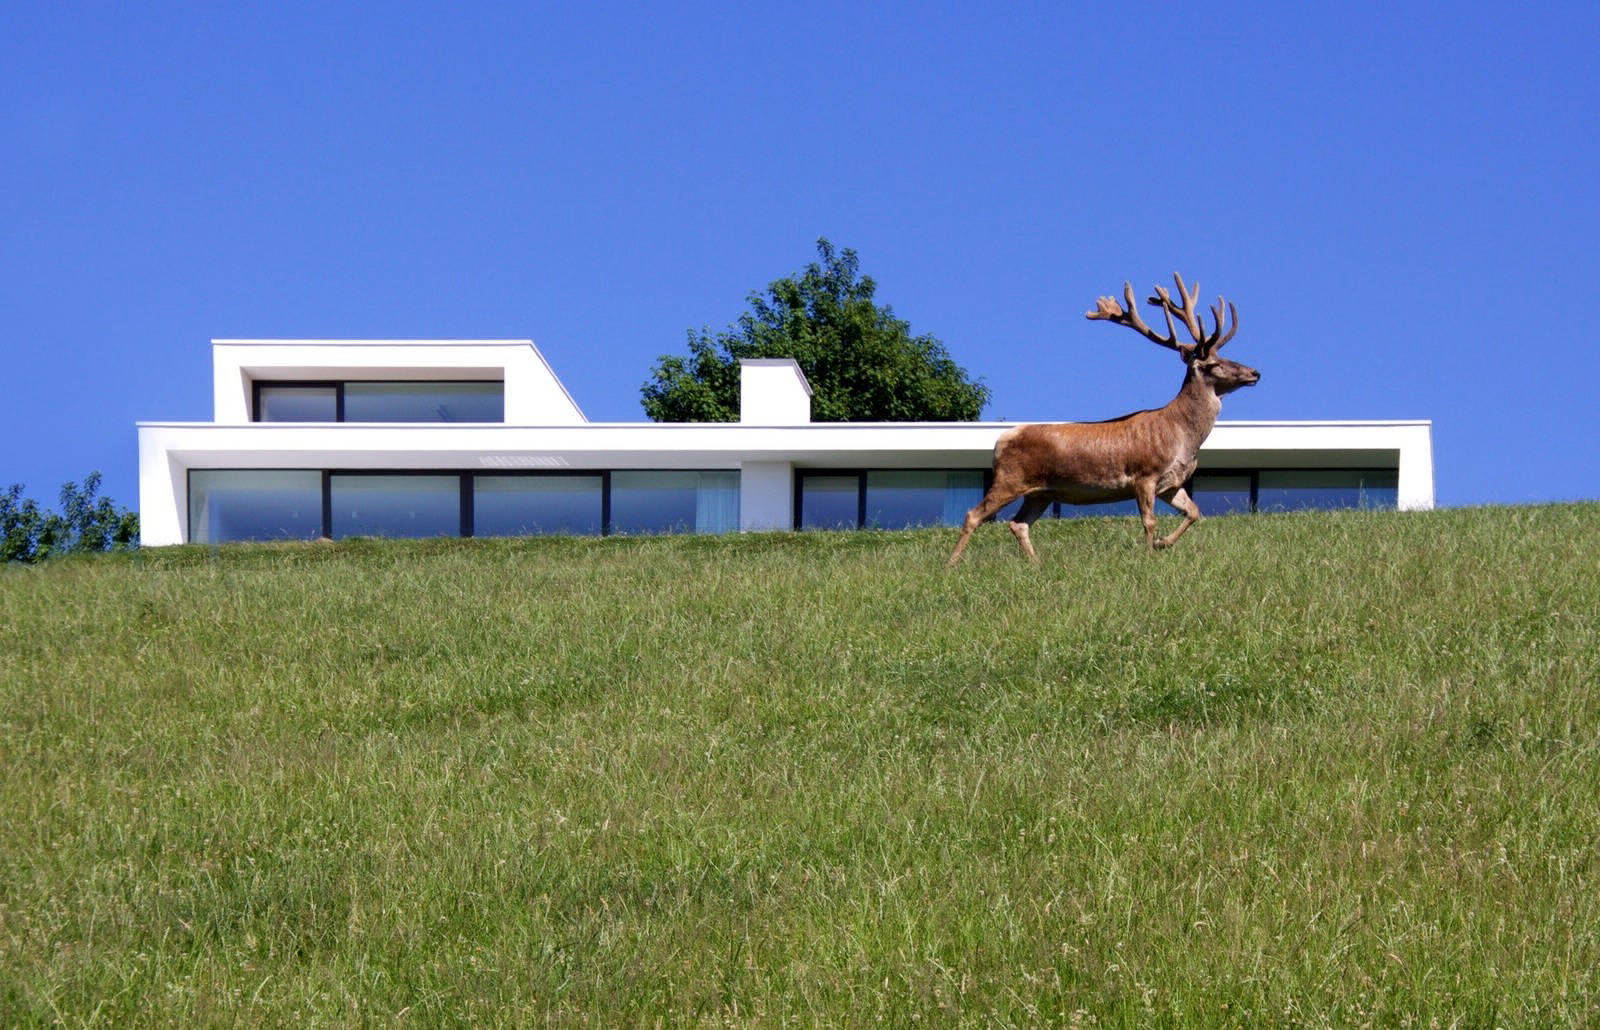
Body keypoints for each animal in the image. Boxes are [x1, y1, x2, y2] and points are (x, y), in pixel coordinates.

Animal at [940, 273, 1254, 562]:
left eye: (1228, 357)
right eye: (1214, 363)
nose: (1255, 372)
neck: (1182, 438)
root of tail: (1001, 440)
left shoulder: (1172, 483)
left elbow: (1195, 512)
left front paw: (1163, 543)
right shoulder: (1144, 473)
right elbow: (1149, 520)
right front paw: (1149, 554)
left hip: (1040, 492)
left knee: (1019, 524)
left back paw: (1036, 564)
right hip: (1009, 479)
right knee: (974, 514)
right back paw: (951, 565)